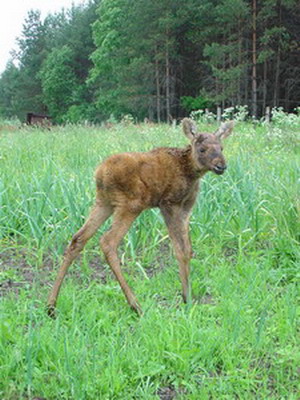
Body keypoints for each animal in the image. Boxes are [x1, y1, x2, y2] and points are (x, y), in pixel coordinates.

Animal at [47, 119, 234, 316]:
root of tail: (100, 173)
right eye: (202, 149)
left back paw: (51, 305)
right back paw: (135, 305)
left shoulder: (186, 208)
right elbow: (180, 250)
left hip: (104, 202)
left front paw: (188, 295)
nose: (221, 165)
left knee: (78, 238)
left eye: (221, 147)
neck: (190, 171)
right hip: (130, 204)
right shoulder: (169, 203)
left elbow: (189, 249)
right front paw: (187, 299)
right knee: (107, 241)